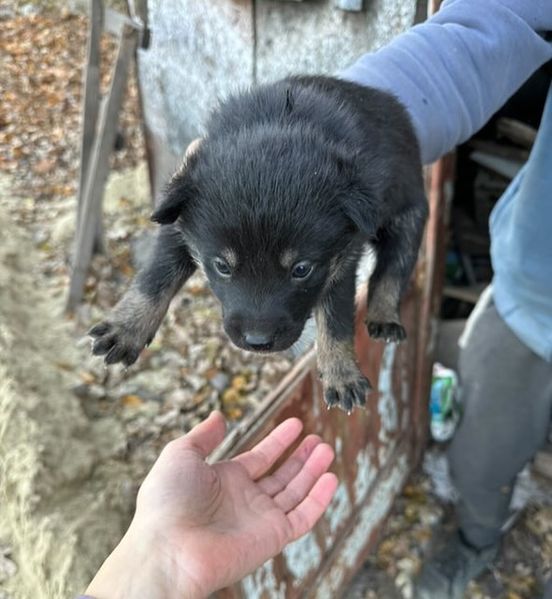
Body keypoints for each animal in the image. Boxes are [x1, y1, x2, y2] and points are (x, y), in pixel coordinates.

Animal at [89, 74, 426, 412]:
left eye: (301, 269)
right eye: (222, 266)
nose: (258, 343)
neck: (281, 123)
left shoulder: (341, 261)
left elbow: (337, 319)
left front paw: (341, 372)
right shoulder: (178, 229)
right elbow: (155, 277)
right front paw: (127, 327)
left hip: (410, 213)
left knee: (393, 269)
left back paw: (385, 316)